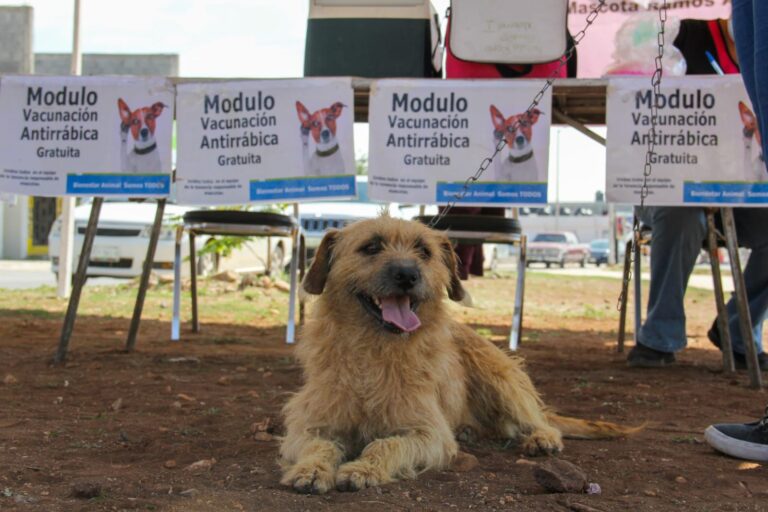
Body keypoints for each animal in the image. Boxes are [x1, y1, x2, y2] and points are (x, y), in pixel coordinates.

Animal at [280, 215, 632, 492]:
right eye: (371, 247)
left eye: (424, 251)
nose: (407, 274)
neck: (375, 351)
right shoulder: (311, 425)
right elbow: (318, 445)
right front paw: (311, 469)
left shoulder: (428, 433)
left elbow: (387, 444)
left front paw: (363, 468)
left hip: (500, 376)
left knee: (538, 419)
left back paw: (542, 438)